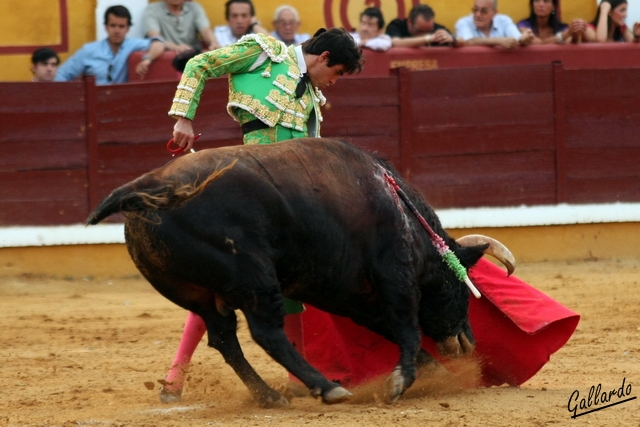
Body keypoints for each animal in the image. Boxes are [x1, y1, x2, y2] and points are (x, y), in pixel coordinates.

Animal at [86, 138, 516, 408]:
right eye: (462, 288)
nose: (467, 342)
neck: (402, 213)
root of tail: (148, 187)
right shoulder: (394, 275)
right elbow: (407, 327)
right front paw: (401, 381)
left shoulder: (349, 293)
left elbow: (390, 329)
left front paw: (433, 375)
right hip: (253, 276)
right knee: (266, 333)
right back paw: (325, 388)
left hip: (199, 294)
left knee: (223, 338)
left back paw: (270, 396)